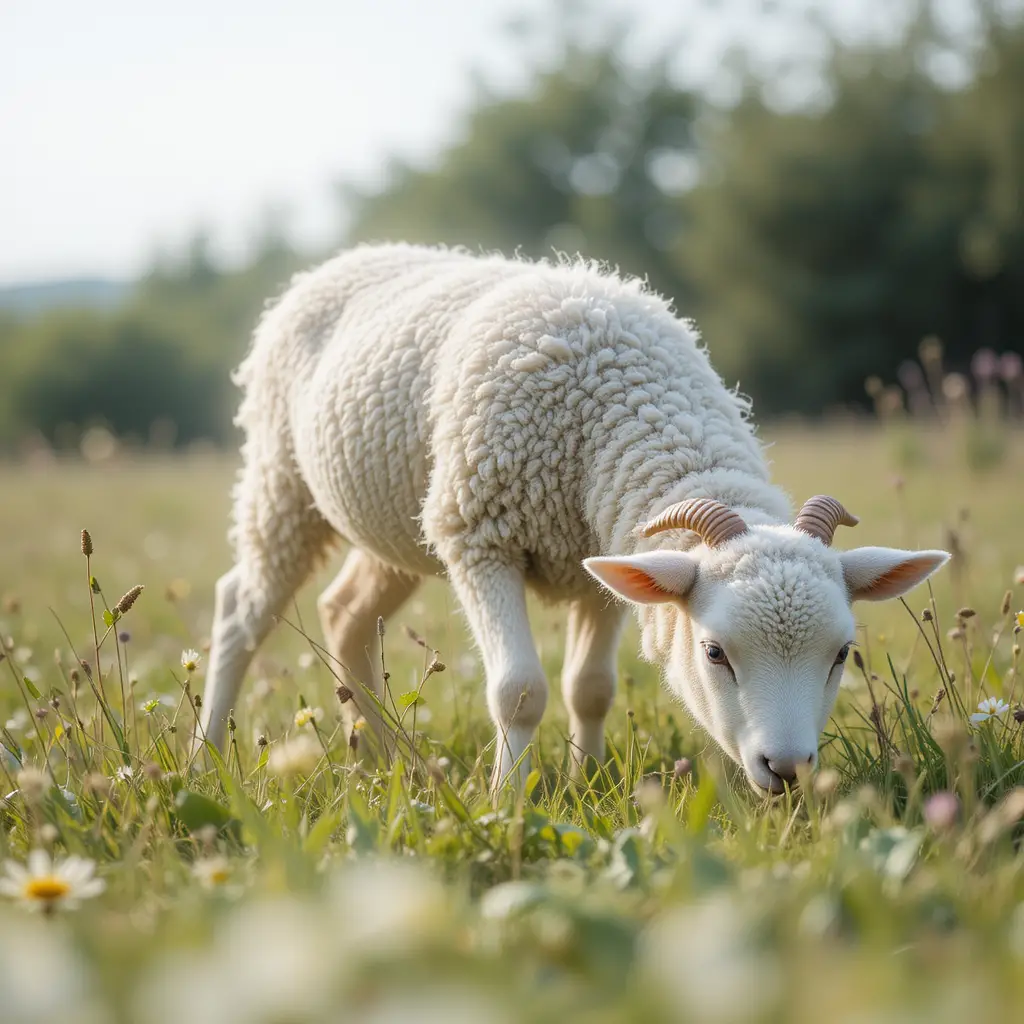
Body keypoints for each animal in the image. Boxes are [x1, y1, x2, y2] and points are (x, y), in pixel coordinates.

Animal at [198, 242, 949, 793]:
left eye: (842, 653)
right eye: (714, 652)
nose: (788, 771)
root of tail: (339, 259)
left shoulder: (609, 562)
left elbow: (590, 689)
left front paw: (589, 782)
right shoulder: (480, 536)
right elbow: (520, 692)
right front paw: (506, 801)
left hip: (396, 527)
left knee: (346, 613)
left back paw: (385, 762)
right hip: (281, 481)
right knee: (241, 610)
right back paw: (208, 758)